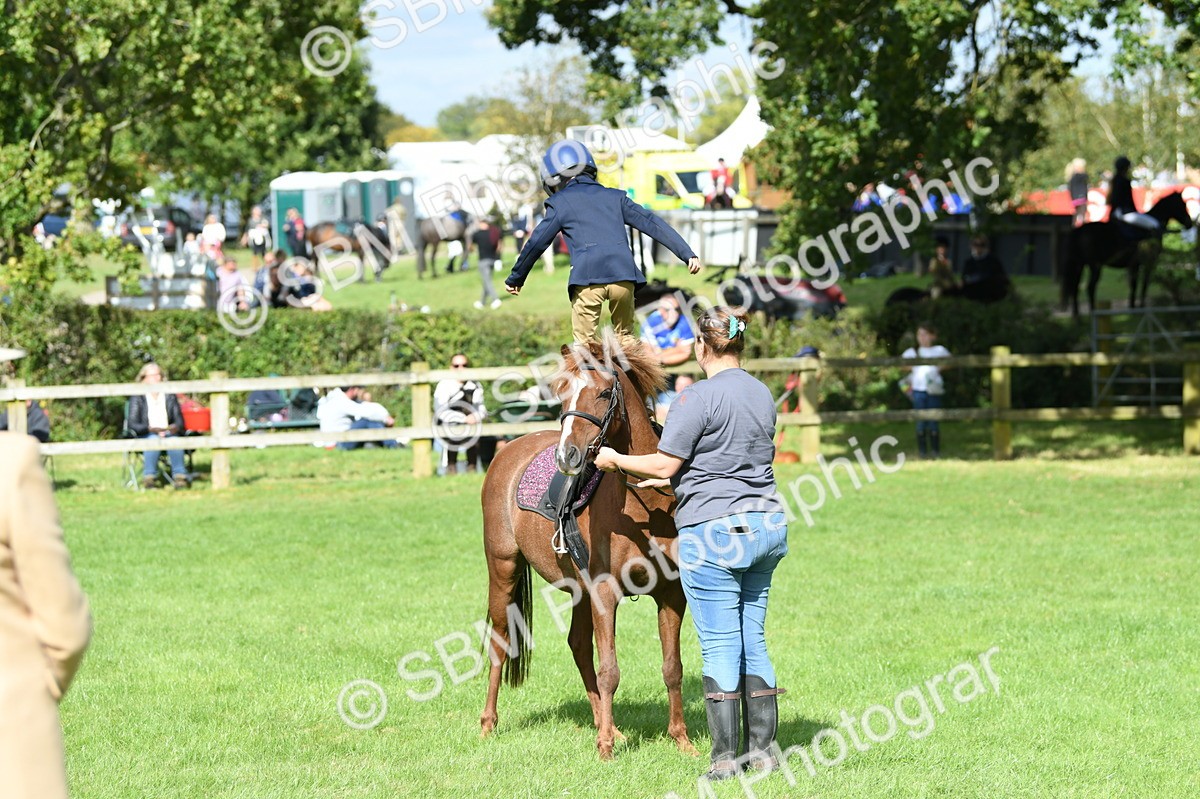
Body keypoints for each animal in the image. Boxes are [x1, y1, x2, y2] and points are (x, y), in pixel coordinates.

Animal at [479, 336, 695, 760]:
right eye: (561, 393)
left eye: (603, 392)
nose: (567, 456)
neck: (642, 507)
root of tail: (509, 449)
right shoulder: (604, 592)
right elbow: (610, 670)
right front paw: (605, 748)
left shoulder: (670, 594)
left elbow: (671, 667)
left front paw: (681, 740)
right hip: (503, 567)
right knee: (500, 641)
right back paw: (488, 723)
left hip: (576, 589)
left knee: (578, 646)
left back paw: (607, 725)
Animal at [1061, 191, 1196, 317]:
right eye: (1182, 204)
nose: (1190, 224)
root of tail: (1079, 230)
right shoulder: (1148, 263)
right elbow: (1143, 284)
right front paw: (1140, 307)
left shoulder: (1134, 265)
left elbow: (1133, 284)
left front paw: (1132, 308)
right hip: (1095, 265)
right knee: (1090, 288)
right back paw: (1094, 313)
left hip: (1079, 265)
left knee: (1075, 287)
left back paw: (1077, 317)